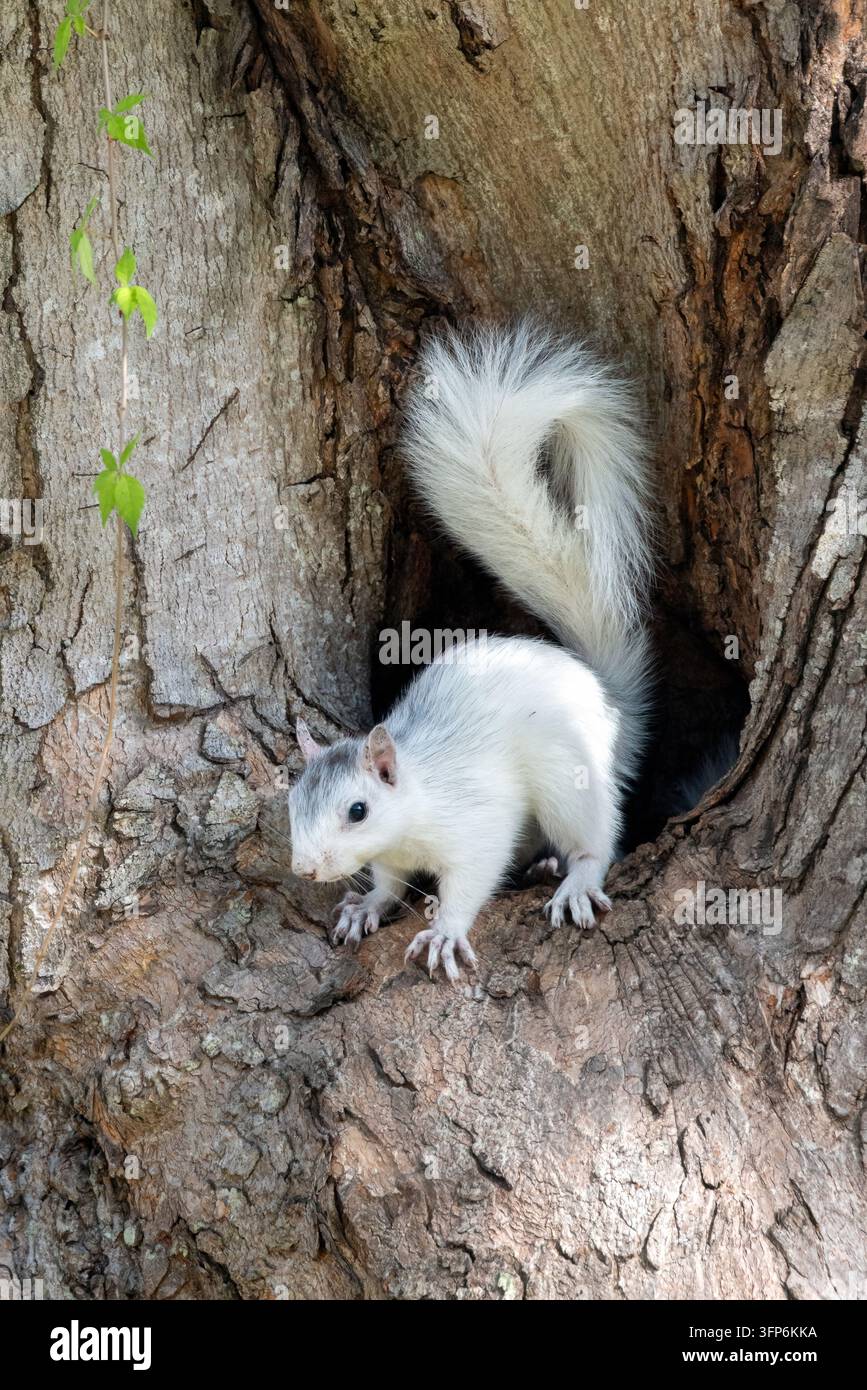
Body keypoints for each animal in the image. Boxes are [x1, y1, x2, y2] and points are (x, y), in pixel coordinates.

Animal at [288, 321, 654, 981]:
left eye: (357, 811)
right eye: (293, 798)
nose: (305, 867)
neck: (414, 805)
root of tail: (607, 701)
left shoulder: (476, 823)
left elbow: (471, 878)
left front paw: (444, 931)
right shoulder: (393, 855)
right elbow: (389, 881)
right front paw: (367, 906)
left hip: (570, 775)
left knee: (594, 839)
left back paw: (574, 877)